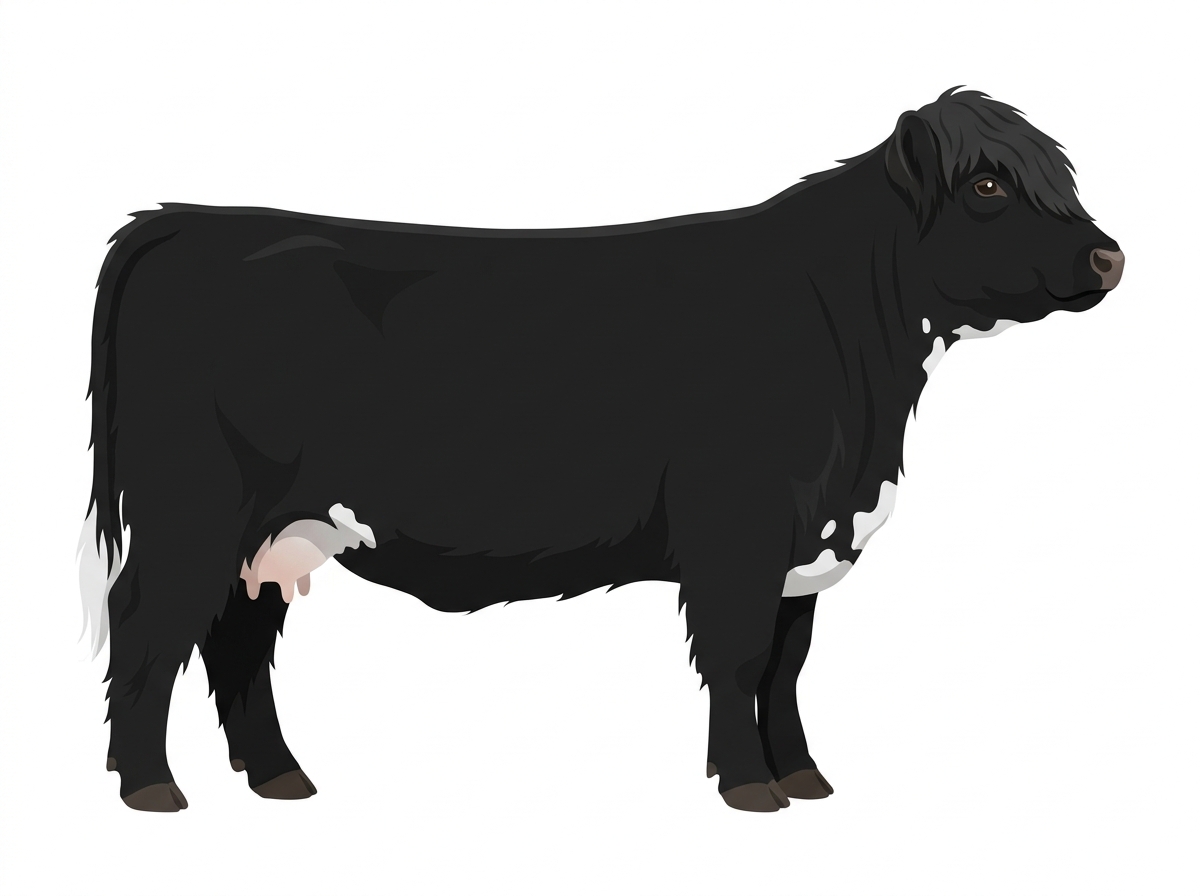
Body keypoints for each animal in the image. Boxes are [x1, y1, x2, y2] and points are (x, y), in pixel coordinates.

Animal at [79, 87, 1123, 812]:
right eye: (988, 185)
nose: (1110, 256)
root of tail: (179, 220)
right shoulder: (738, 534)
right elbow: (741, 659)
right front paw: (749, 786)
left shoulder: (804, 544)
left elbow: (788, 666)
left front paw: (804, 777)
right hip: (193, 511)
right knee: (148, 623)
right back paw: (149, 788)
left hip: (275, 528)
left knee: (237, 638)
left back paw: (279, 777)